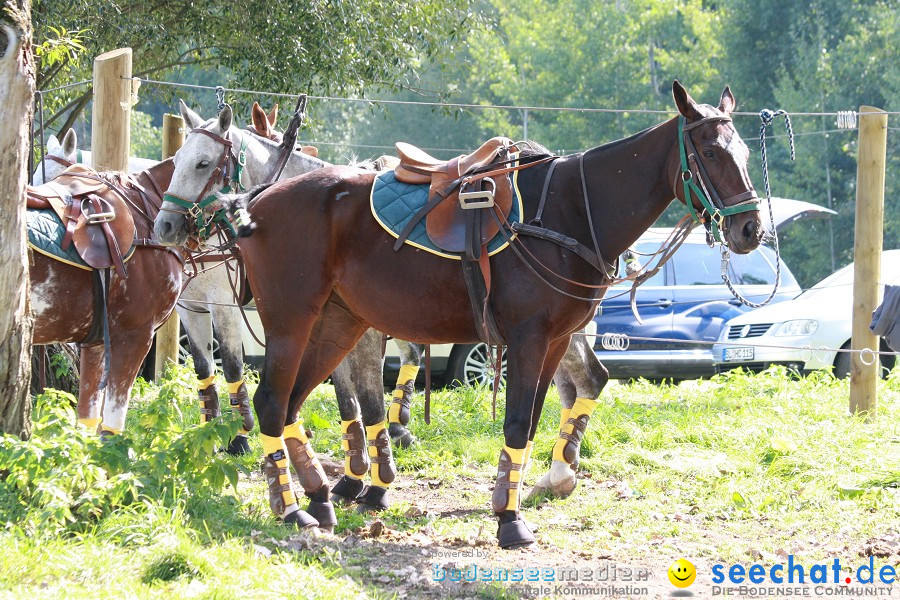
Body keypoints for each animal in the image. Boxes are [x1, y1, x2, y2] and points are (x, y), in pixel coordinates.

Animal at [153, 82, 760, 548]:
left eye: (745, 155)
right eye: (710, 153)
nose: (750, 228)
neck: (567, 210)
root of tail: (257, 204)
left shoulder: (551, 340)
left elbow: (523, 421)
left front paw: (497, 499)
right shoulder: (526, 339)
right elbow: (481, 418)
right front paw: (508, 520)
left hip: (331, 324)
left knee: (286, 404)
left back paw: (319, 498)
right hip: (293, 323)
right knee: (272, 402)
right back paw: (293, 506)